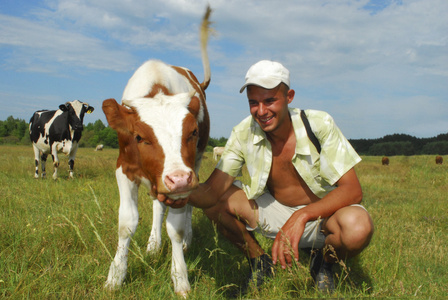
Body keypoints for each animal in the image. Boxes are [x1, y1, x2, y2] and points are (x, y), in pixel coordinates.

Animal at [102, 5, 213, 296]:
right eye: (139, 137)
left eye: (193, 132)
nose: (179, 179)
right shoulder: (123, 170)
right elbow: (127, 223)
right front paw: (116, 276)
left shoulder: (184, 180)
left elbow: (175, 227)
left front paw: (180, 277)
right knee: (156, 205)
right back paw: (153, 244)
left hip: (195, 165)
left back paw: (186, 241)